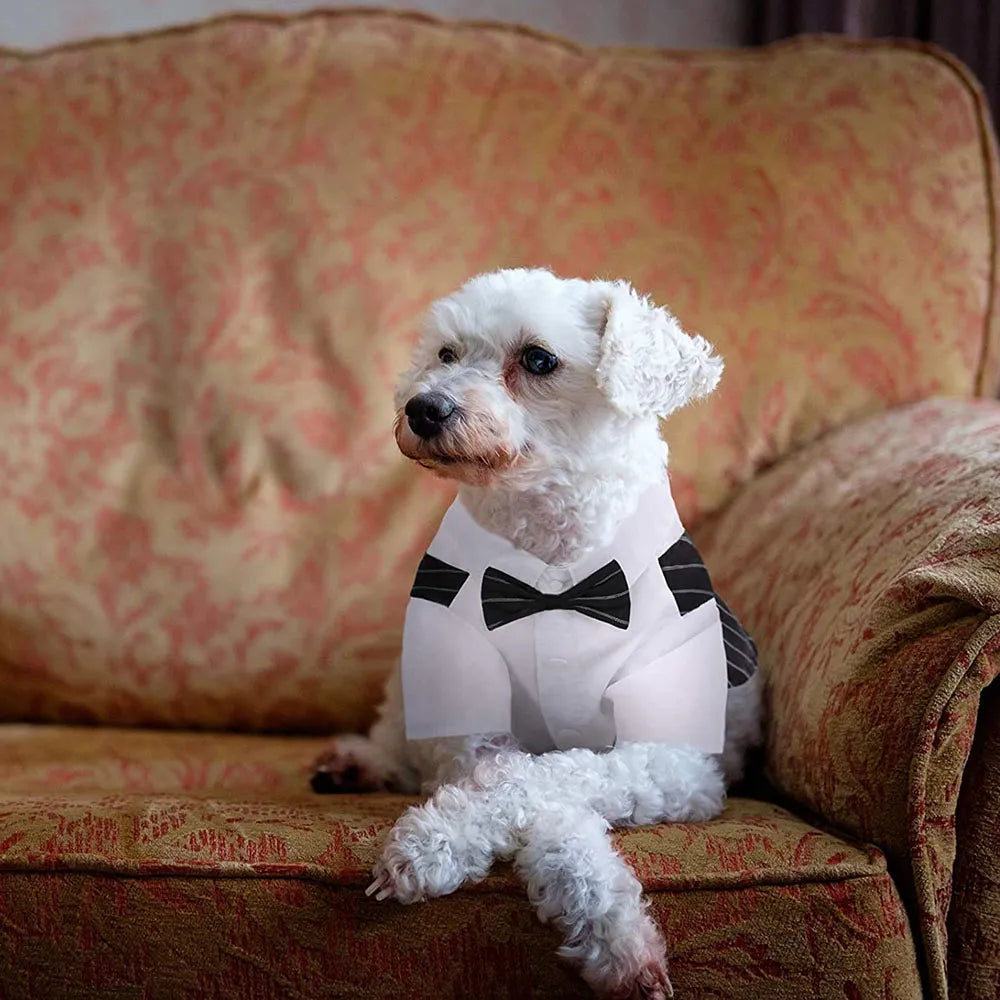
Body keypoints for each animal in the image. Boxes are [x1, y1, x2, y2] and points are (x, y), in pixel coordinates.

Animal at [312, 270, 764, 996]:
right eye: (446, 352)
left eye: (539, 360)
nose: (423, 408)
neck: (554, 569)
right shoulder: (472, 728)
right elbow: (521, 783)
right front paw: (433, 846)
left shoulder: (678, 764)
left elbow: (547, 784)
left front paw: (616, 938)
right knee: (402, 744)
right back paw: (359, 762)